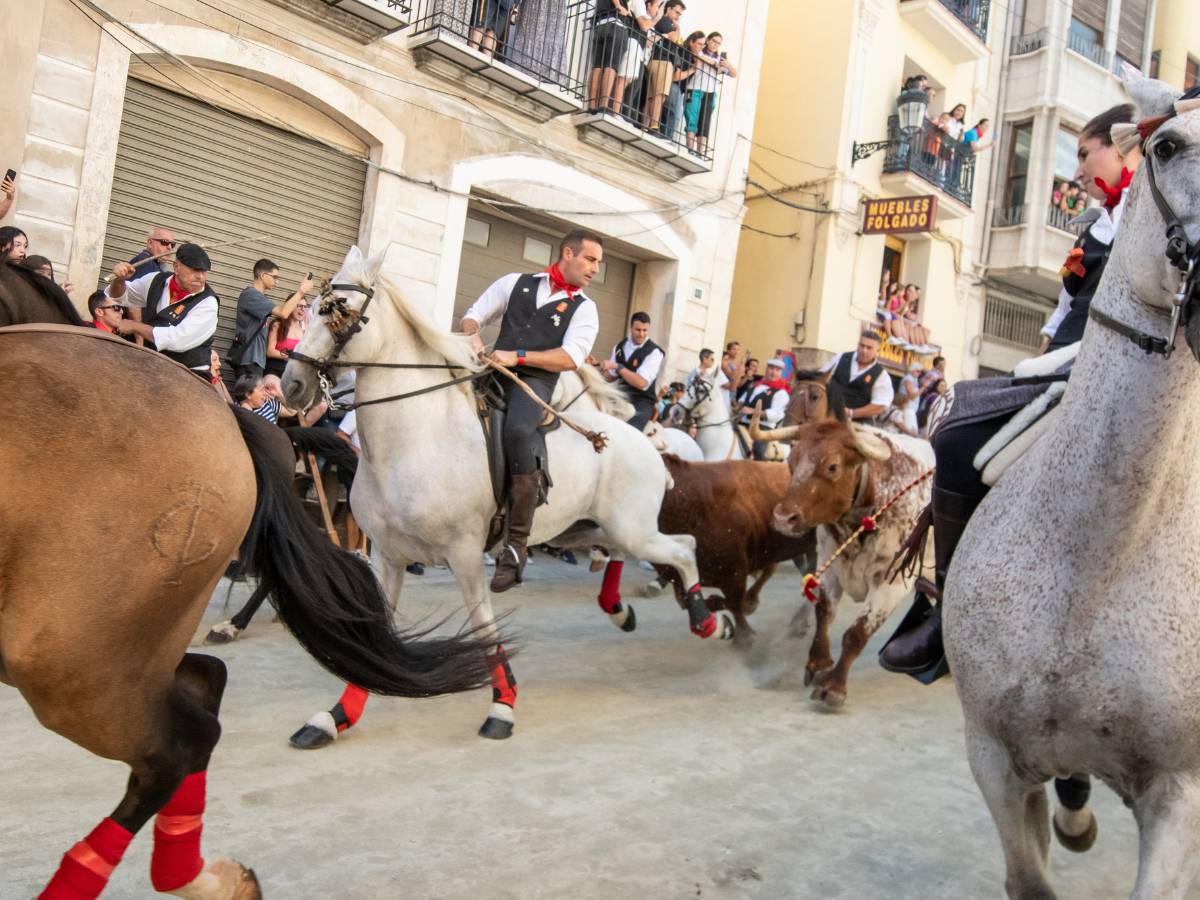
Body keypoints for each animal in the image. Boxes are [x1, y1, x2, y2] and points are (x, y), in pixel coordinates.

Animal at [283, 248, 729, 748]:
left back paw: (707, 621)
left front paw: (503, 706)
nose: (292, 384)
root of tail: (648, 443)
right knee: (625, 551)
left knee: (684, 548)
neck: (415, 437)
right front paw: (336, 716)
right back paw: (623, 611)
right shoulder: (388, 556)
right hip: (589, 529)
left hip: (633, 529)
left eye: (339, 314)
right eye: (313, 307)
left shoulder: (464, 555)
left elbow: (484, 626)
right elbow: (373, 636)